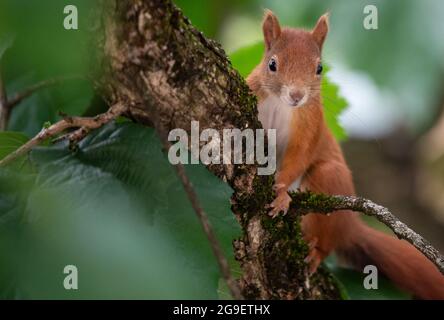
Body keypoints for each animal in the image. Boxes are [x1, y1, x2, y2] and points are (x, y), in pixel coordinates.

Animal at [246, 10, 444, 300]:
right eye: (272, 64)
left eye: (319, 69)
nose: (296, 95)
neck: (281, 105)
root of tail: (351, 225)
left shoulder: (311, 125)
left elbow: (299, 156)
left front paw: (281, 193)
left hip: (330, 185)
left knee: (327, 237)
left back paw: (316, 251)